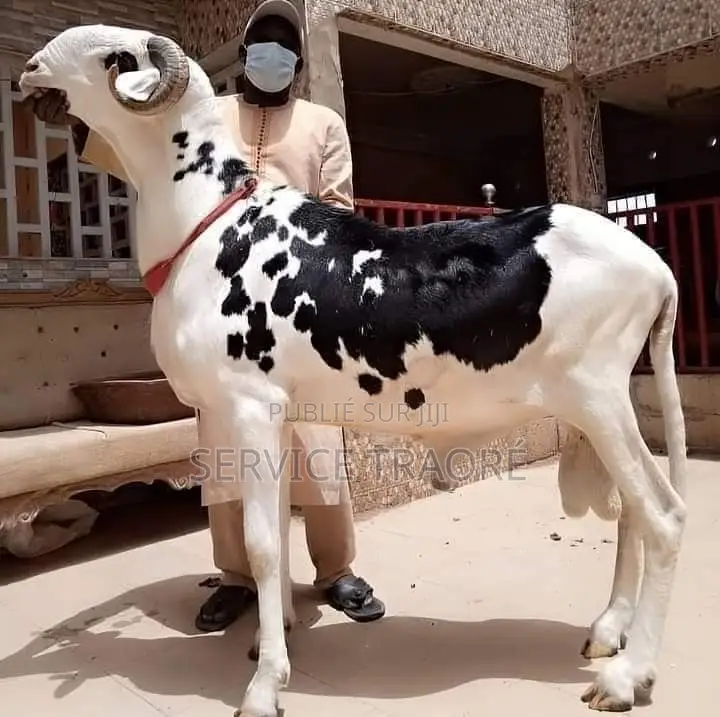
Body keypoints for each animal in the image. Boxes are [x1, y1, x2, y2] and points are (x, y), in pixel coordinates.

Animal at [19, 24, 688, 717]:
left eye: (115, 57)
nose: (31, 69)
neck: (211, 224)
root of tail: (655, 265)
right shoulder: (279, 415)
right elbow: (278, 533)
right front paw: (275, 637)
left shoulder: (248, 407)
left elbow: (262, 543)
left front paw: (265, 686)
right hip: (599, 408)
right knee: (634, 513)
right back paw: (608, 629)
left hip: (599, 398)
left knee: (663, 515)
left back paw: (628, 675)